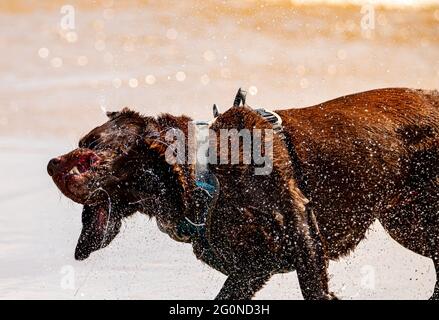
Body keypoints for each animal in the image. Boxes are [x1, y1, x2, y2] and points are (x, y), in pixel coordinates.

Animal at [48, 87, 439, 300]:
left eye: (89, 147)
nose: (50, 165)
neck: (208, 177)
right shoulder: (251, 270)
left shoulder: (304, 241)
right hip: (406, 223)